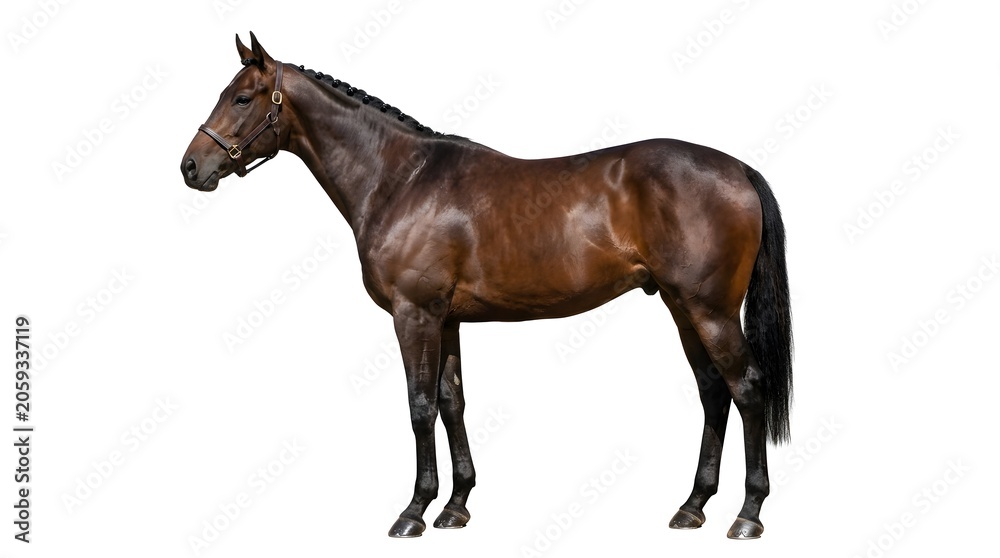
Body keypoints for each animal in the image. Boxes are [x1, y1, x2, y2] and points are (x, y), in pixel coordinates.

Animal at [180, 32, 792, 540]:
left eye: (242, 98)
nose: (190, 167)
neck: (401, 180)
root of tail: (738, 169)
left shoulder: (414, 314)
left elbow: (420, 406)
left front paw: (413, 512)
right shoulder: (446, 319)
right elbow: (452, 402)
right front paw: (455, 507)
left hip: (709, 309)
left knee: (747, 388)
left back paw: (747, 514)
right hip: (680, 306)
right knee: (713, 391)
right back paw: (692, 506)